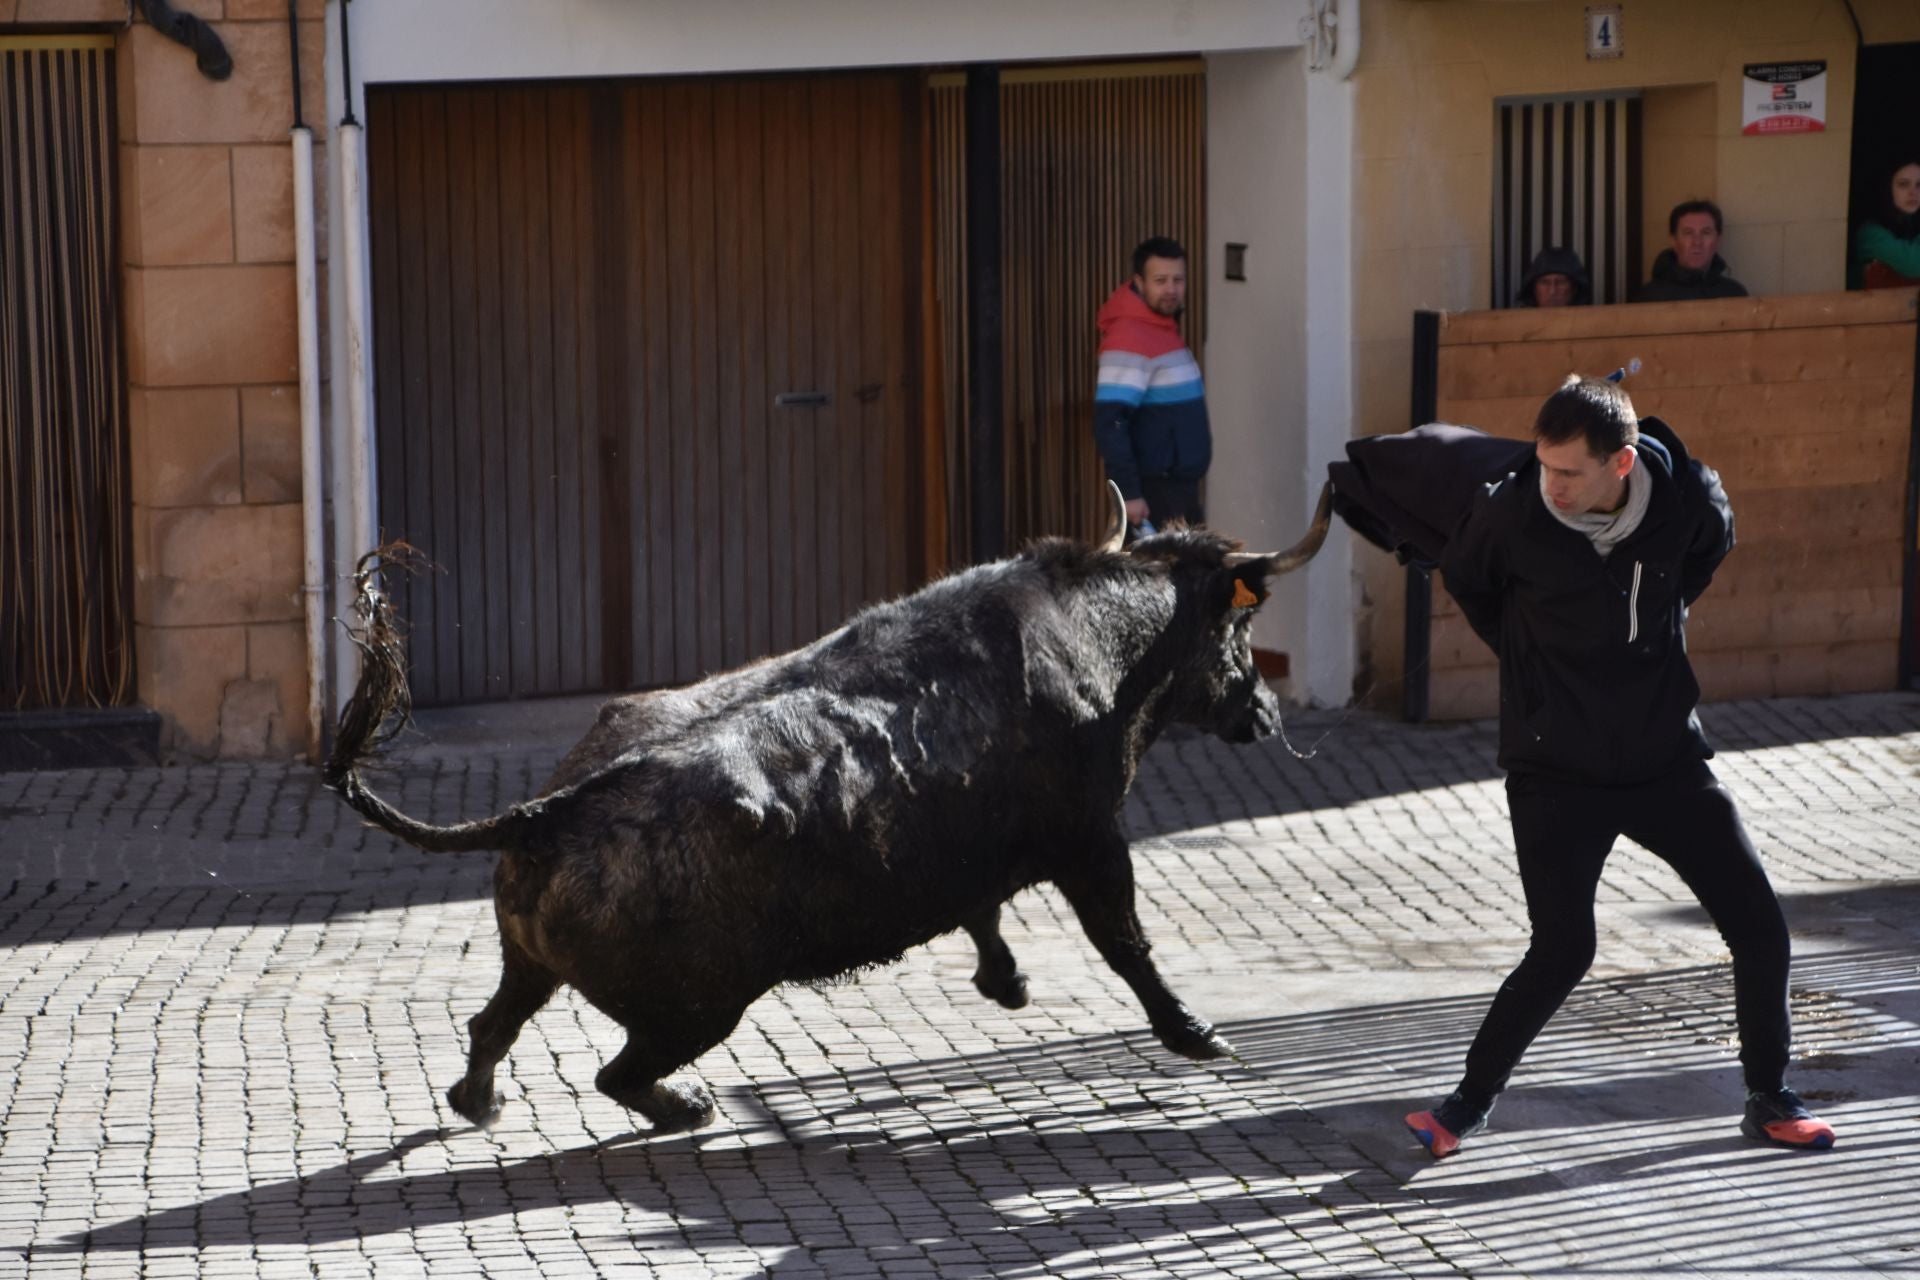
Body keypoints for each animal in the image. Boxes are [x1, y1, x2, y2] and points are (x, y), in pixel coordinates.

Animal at [322, 483, 1328, 1128]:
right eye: (1240, 622)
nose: (1264, 711)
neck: (1094, 642)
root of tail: (551, 810)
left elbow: (986, 910)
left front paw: (1006, 982)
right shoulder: (1091, 838)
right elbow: (1125, 943)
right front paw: (1197, 1034)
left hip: (531, 961)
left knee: (492, 1024)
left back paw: (481, 1101)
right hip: (701, 1007)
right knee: (618, 1072)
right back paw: (686, 1108)